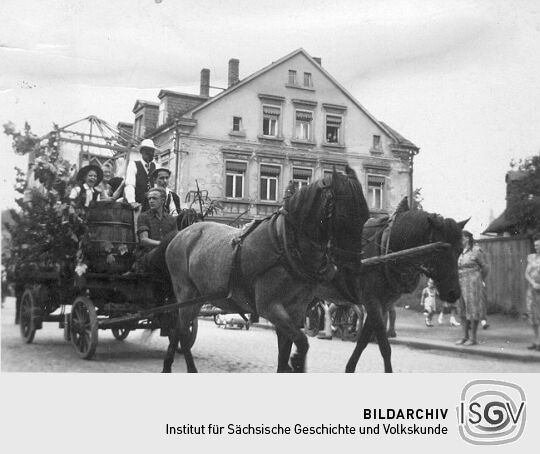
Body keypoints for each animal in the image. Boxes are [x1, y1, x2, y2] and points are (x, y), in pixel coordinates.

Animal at [161, 167, 372, 372]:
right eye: (343, 216)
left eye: (366, 217)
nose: (354, 266)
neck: (286, 244)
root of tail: (180, 234)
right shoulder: (271, 308)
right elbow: (301, 341)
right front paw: (296, 362)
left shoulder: (295, 311)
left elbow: (285, 353)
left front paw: (291, 363)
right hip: (185, 294)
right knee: (182, 331)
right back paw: (189, 367)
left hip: (197, 297)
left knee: (177, 329)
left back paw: (167, 365)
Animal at [342, 199, 468, 372]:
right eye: (439, 250)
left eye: (460, 250)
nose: (453, 293)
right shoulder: (371, 301)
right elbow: (384, 347)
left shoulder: (383, 303)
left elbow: (363, 341)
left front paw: (350, 367)